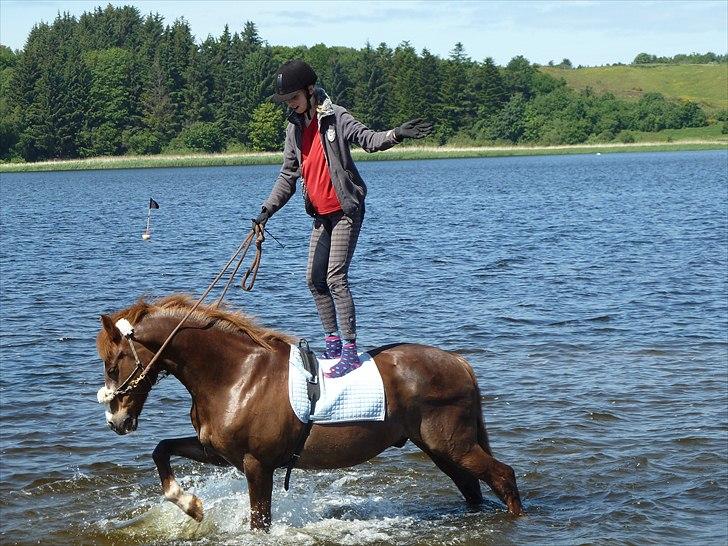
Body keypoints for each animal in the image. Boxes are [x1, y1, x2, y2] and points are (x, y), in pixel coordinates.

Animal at [95, 294, 524, 530]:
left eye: (113, 365)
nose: (116, 420)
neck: (237, 375)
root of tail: (458, 363)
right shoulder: (217, 453)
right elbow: (162, 450)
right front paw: (191, 505)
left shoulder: (257, 464)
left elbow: (260, 523)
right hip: (441, 449)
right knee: (473, 487)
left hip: (453, 445)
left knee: (503, 476)